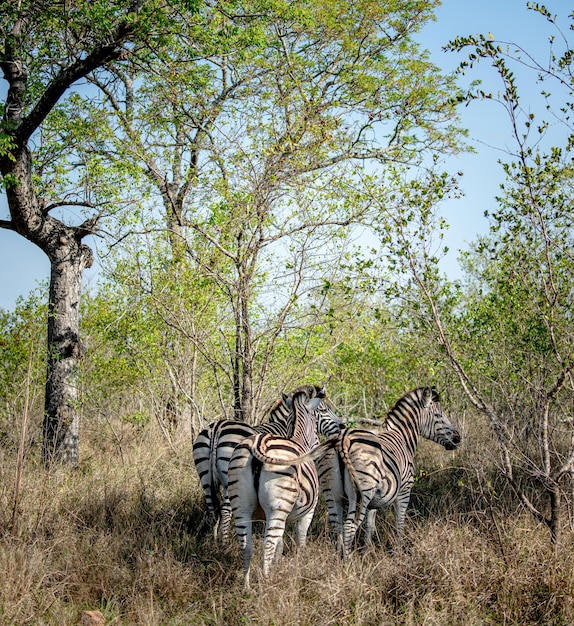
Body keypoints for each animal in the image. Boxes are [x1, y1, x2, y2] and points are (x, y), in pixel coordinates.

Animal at [191, 382, 344, 540]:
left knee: (212, 509)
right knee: (226, 510)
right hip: (229, 478)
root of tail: (216, 428)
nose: (342, 426)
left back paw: (214, 540)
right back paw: (224, 542)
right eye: (324, 409)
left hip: (206, 477)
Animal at [228, 382, 326, 588]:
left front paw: (278, 564)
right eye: (316, 423)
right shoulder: (308, 511)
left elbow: (280, 545)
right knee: (267, 546)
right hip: (277, 507)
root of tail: (258, 444)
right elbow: (300, 540)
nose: (317, 445)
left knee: (246, 547)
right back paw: (266, 583)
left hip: (241, 505)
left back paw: (246, 587)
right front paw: (299, 565)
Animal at [316, 386, 464, 556]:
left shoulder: (374, 500)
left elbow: (370, 526)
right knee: (349, 527)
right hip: (361, 491)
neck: (403, 437)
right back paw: (347, 561)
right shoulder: (404, 490)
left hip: (331, 492)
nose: (458, 438)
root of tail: (343, 439)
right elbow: (400, 523)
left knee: (337, 526)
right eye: (439, 415)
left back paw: (338, 558)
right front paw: (399, 552)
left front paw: (366, 553)